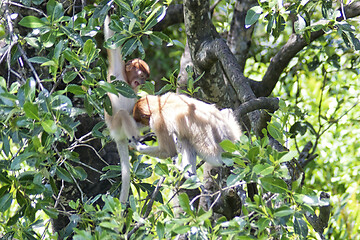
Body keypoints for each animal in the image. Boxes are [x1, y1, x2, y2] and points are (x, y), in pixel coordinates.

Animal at [103, 15, 150, 203]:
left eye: (145, 78)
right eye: (142, 75)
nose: (142, 83)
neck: (127, 81)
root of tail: (118, 137)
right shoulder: (116, 70)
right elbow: (112, 44)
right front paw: (110, 12)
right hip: (116, 126)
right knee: (123, 115)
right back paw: (136, 140)